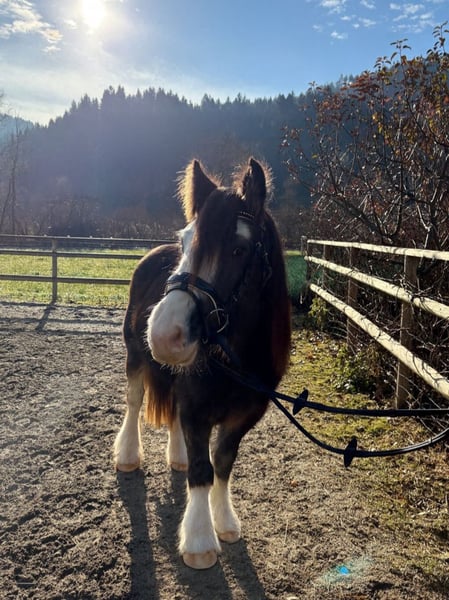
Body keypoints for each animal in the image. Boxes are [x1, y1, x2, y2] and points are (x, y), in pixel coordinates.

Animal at [114, 157, 291, 569]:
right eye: (185, 242)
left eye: (240, 250)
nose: (165, 334)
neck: (238, 358)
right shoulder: (197, 407)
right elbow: (201, 469)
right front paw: (198, 540)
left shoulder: (246, 414)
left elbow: (222, 463)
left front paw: (224, 521)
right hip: (134, 357)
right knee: (134, 402)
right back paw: (128, 454)